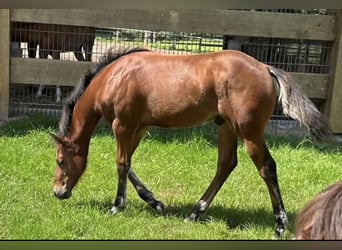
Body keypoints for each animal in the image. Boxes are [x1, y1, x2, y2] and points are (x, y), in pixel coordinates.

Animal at [49, 46, 330, 237]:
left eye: (60, 160)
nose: (58, 193)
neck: (114, 77)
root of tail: (265, 67)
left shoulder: (123, 125)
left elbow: (121, 164)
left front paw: (117, 207)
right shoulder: (138, 128)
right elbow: (129, 166)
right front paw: (156, 203)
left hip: (249, 132)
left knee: (267, 167)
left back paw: (279, 225)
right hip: (226, 126)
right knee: (226, 164)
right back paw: (195, 213)